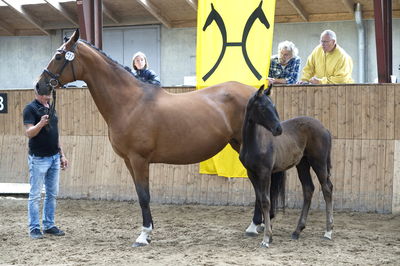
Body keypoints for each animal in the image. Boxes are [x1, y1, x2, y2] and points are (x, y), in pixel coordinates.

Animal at [35, 29, 256, 247]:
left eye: (58, 56)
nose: (39, 86)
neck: (130, 102)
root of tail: (255, 92)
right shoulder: (129, 161)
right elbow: (141, 195)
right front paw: (148, 232)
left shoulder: (139, 159)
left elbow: (144, 196)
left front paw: (144, 235)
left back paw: (254, 226)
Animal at [241, 84, 334, 247]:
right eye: (262, 107)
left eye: (274, 105)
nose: (278, 129)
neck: (254, 142)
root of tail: (324, 128)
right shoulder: (251, 173)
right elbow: (259, 198)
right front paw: (267, 232)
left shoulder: (265, 172)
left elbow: (266, 201)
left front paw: (266, 238)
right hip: (302, 164)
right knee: (308, 189)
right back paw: (297, 230)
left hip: (319, 162)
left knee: (327, 188)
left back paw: (328, 232)